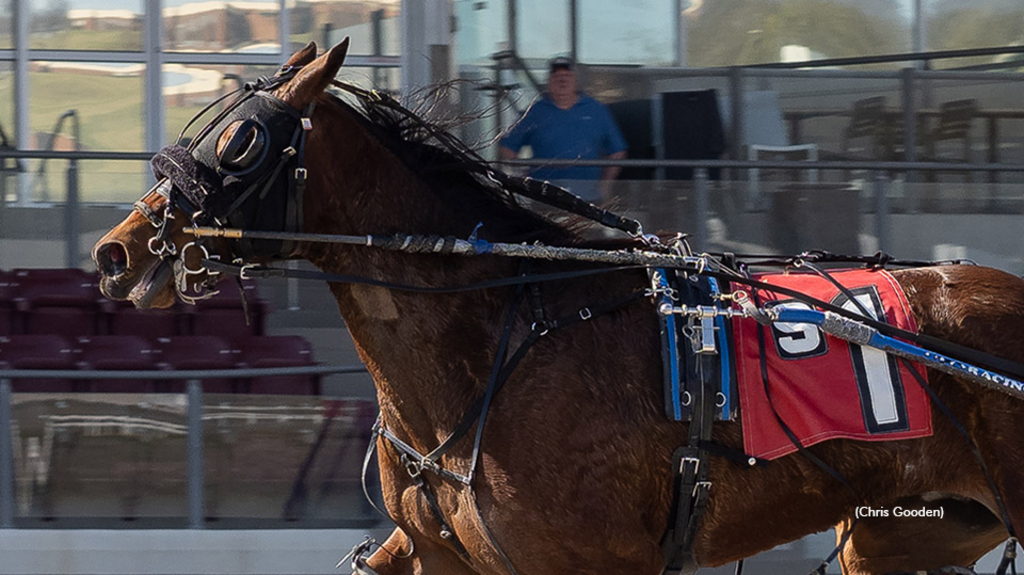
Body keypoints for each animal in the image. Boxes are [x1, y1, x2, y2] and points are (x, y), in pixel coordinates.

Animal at [94, 41, 1024, 572]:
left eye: (242, 139)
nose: (118, 250)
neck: (499, 339)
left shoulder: (597, 559)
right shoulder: (438, 553)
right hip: (901, 537)